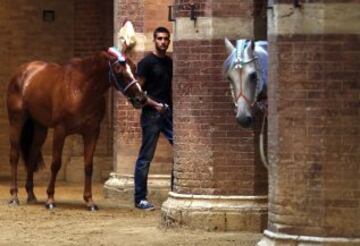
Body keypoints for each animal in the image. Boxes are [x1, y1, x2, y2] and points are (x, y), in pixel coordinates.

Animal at [5, 49, 146, 210]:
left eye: (134, 68)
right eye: (118, 70)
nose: (141, 98)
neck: (81, 89)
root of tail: (23, 71)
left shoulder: (92, 132)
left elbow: (88, 165)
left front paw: (89, 201)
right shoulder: (60, 130)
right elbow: (56, 163)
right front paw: (50, 199)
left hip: (40, 127)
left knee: (32, 155)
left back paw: (31, 195)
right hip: (16, 121)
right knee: (14, 156)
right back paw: (14, 196)